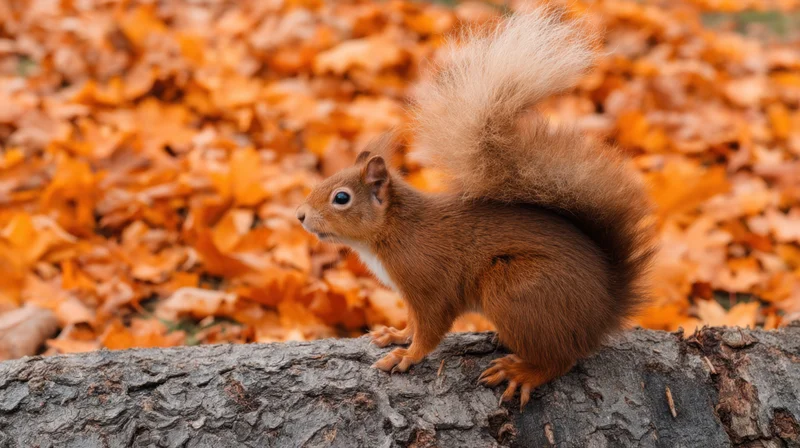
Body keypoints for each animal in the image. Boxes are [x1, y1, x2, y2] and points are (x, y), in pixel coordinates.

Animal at [296, 7, 656, 409]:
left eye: (341, 197)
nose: (300, 215)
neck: (395, 231)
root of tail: (605, 311)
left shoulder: (429, 281)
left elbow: (431, 328)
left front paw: (407, 356)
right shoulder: (410, 294)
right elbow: (413, 322)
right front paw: (396, 335)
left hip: (516, 290)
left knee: (560, 359)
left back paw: (523, 371)